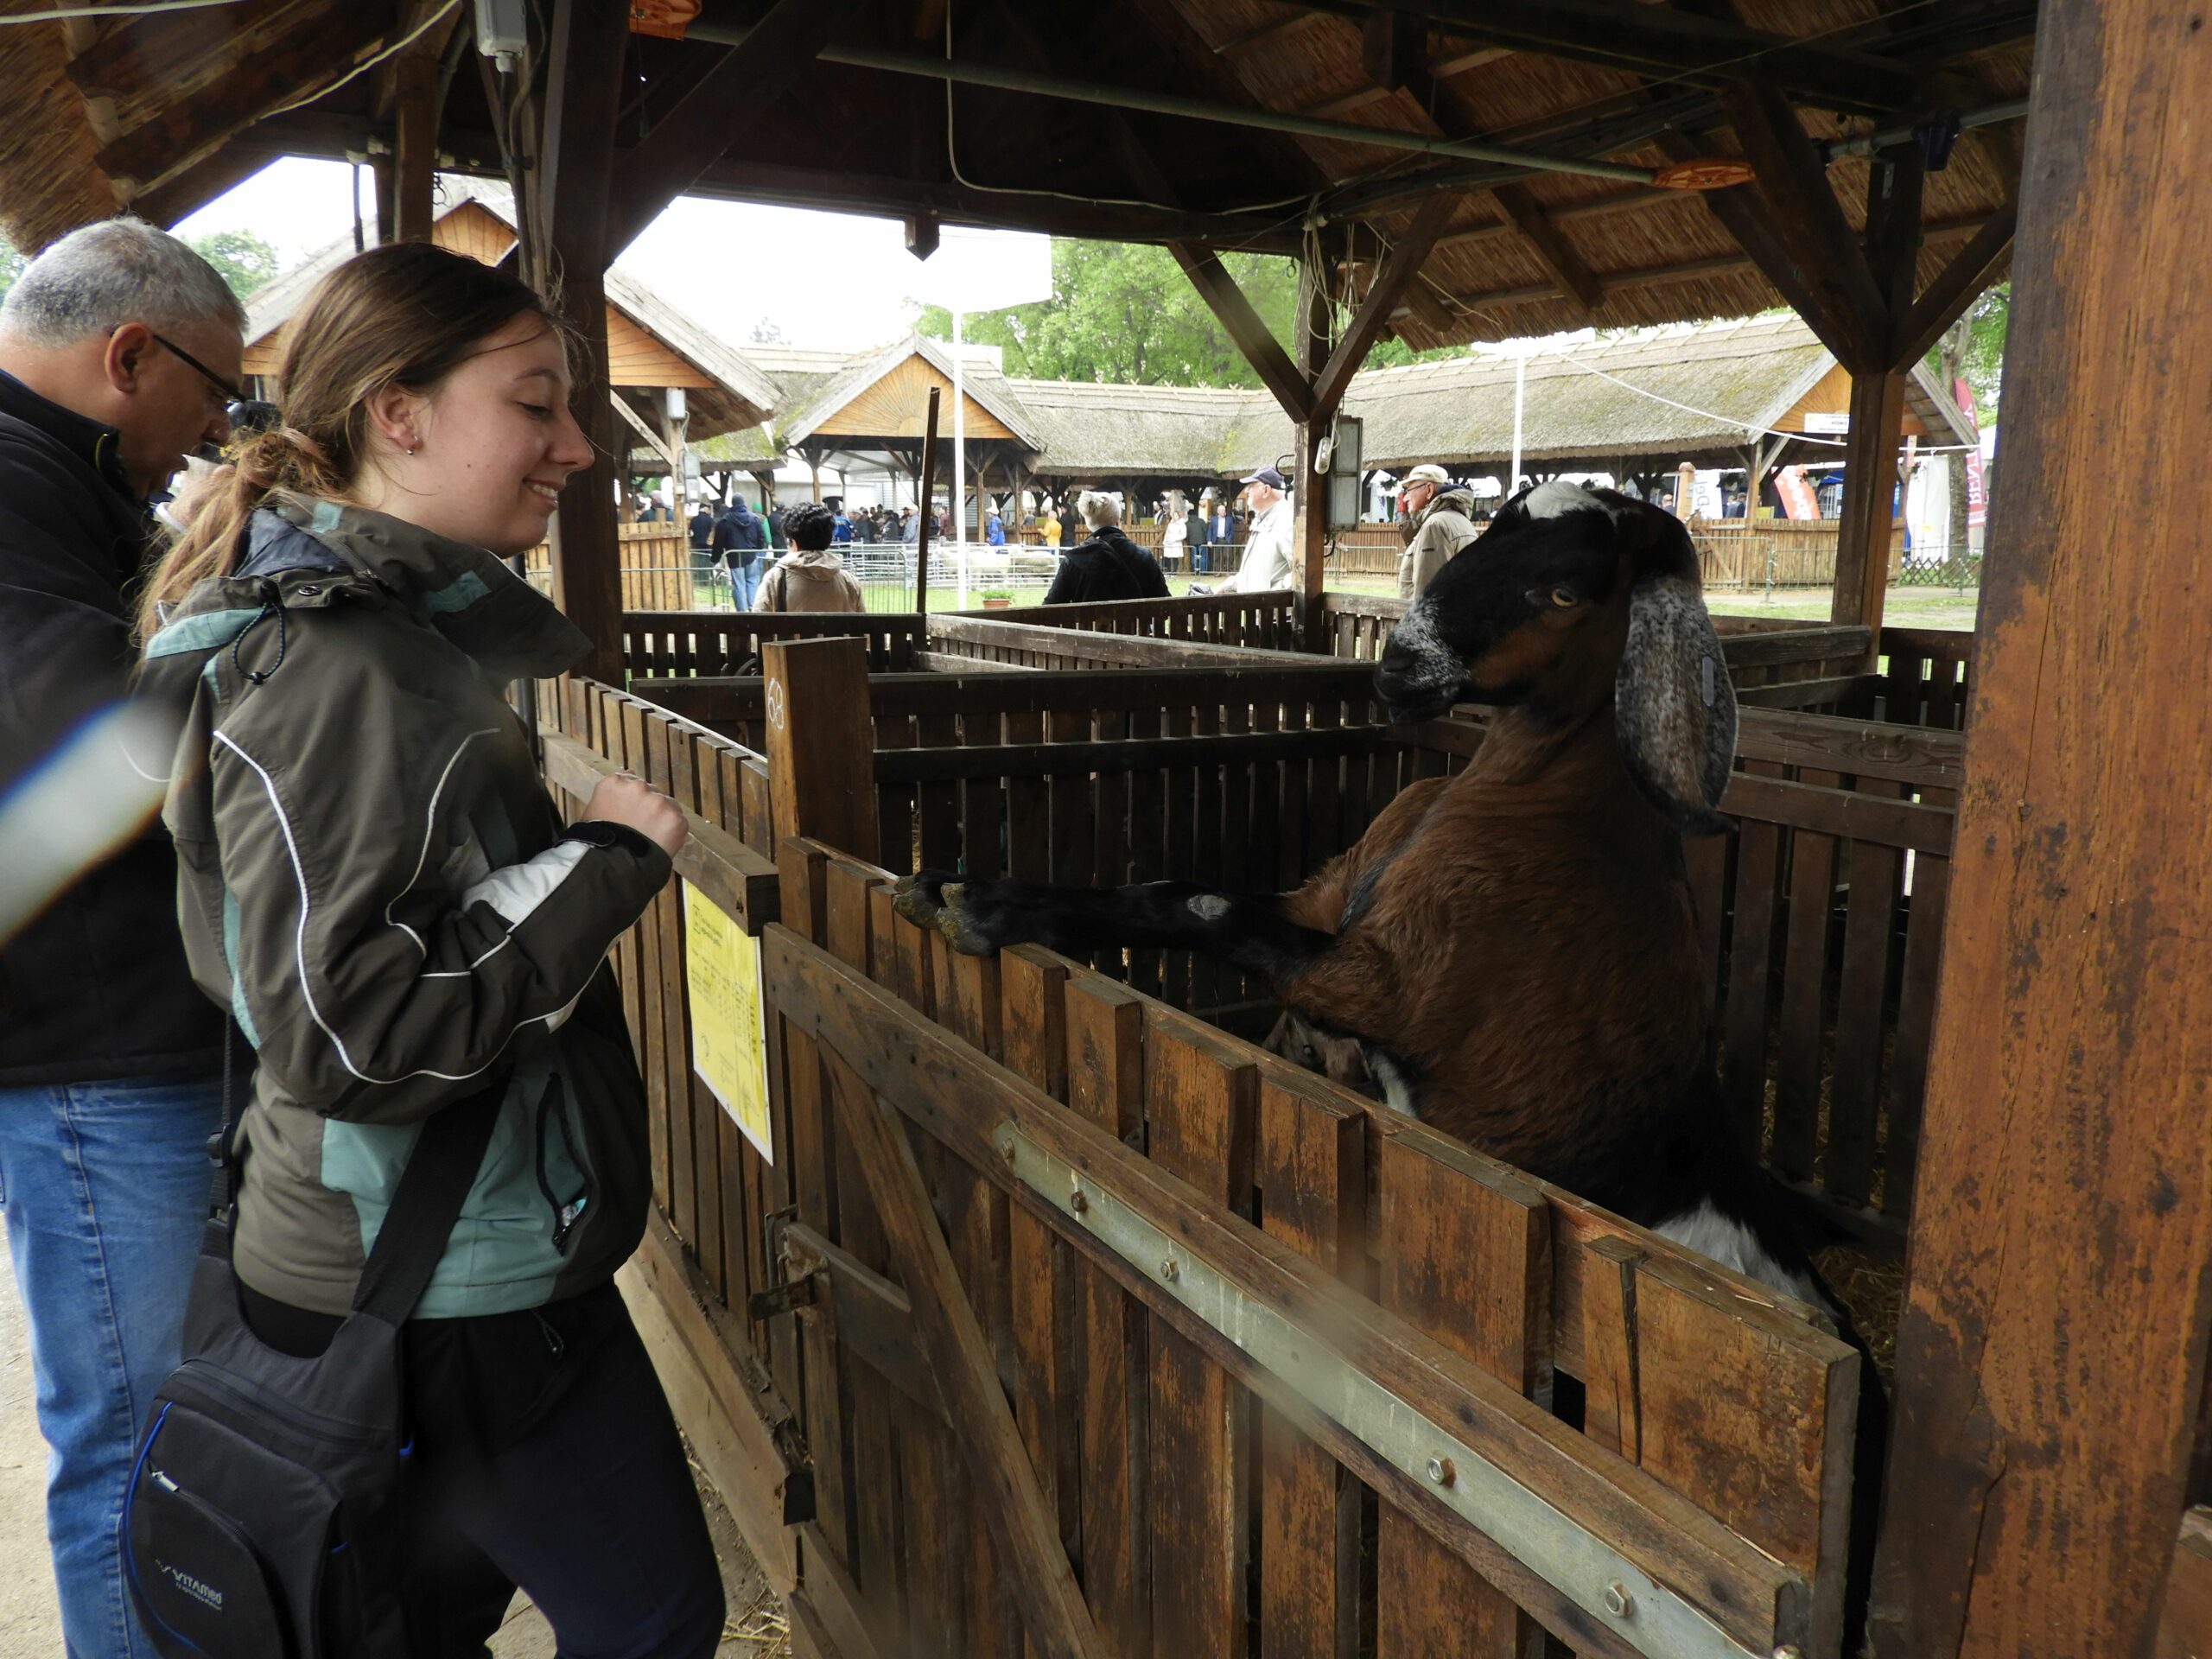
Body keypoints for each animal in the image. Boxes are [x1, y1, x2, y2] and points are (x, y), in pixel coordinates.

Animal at [889, 477, 1893, 1637]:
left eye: (1564, 591)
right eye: (1492, 527)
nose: (1399, 667)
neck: (1534, 807)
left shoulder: (1388, 988)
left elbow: (1195, 901)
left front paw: (985, 902)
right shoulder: (1325, 907)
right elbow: (1181, 889)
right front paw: (954, 881)